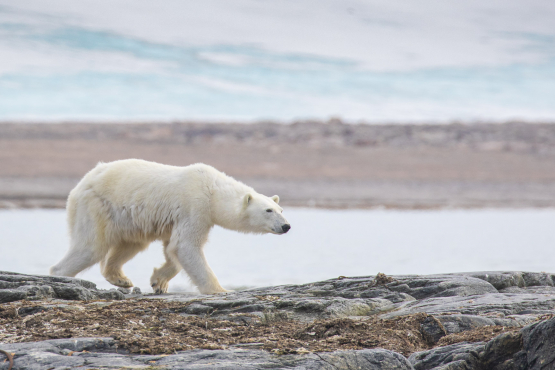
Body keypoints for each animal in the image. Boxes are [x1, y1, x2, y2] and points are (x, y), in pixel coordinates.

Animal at [50, 159, 292, 294]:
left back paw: (121, 278)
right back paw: (62, 276)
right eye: (268, 211)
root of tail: (81, 184)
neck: (213, 190)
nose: (286, 226)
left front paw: (159, 282)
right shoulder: (195, 206)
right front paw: (221, 290)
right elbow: (185, 246)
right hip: (97, 206)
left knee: (131, 244)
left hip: (127, 219)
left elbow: (172, 248)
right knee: (91, 247)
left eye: (280, 209)